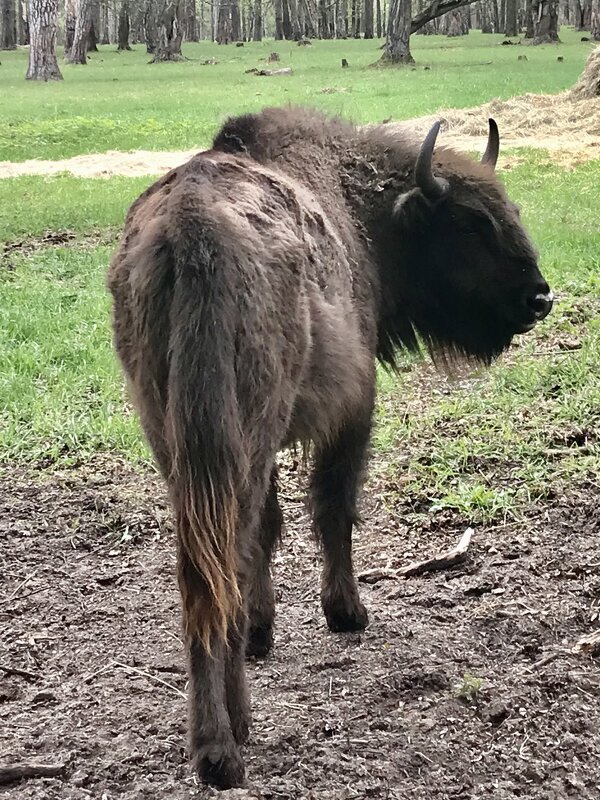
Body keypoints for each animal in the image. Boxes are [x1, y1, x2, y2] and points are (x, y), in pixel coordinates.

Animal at [108, 106, 552, 788]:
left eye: (511, 211)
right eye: (469, 223)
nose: (539, 297)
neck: (362, 210)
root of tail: (194, 232)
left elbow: (273, 527)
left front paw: (263, 628)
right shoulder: (353, 408)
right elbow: (333, 508)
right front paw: (347, 612)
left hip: (177, 439)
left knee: (204, 565)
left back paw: (214, 735)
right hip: (241, 433)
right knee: (228, 554)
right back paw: (226, 742)